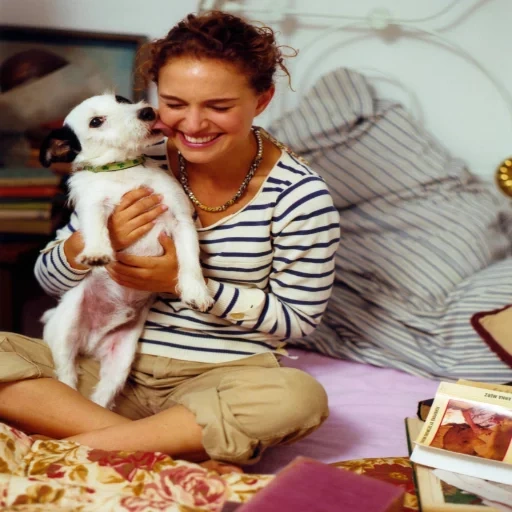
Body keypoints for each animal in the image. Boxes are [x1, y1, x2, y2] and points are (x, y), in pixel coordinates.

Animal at [38, 94, 212, 410]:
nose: (147, 111)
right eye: (96, 121)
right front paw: (97, 251)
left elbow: (190, 260)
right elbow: (95, 226)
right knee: (66, 375)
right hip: (65, 331)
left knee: (103, 395)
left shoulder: (181, 220)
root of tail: (91, 344)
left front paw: (196, 291)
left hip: (121, 358)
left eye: (123, 100)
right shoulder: (93, 206)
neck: (124, 171)